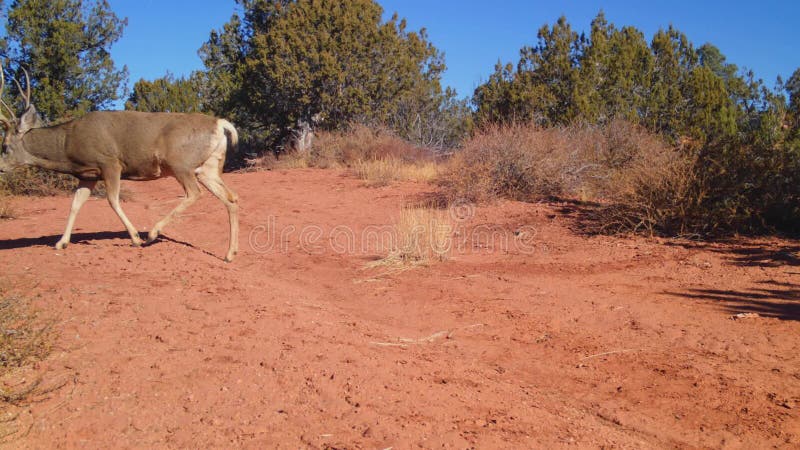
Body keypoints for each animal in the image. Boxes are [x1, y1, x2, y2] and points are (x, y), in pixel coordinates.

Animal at [0, 68, 239, 262]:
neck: (67, 144)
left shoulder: (110, 163)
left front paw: (135, 238)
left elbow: (112, 200)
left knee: (195, 193)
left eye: (5, 146)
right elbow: (75, 204)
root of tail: (220, 123)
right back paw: (230, 254)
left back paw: (152, 234)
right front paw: (61, 242)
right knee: (231, 198)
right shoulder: (87, 175)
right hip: (207, 167)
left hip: (181, 164)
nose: (1, 168)